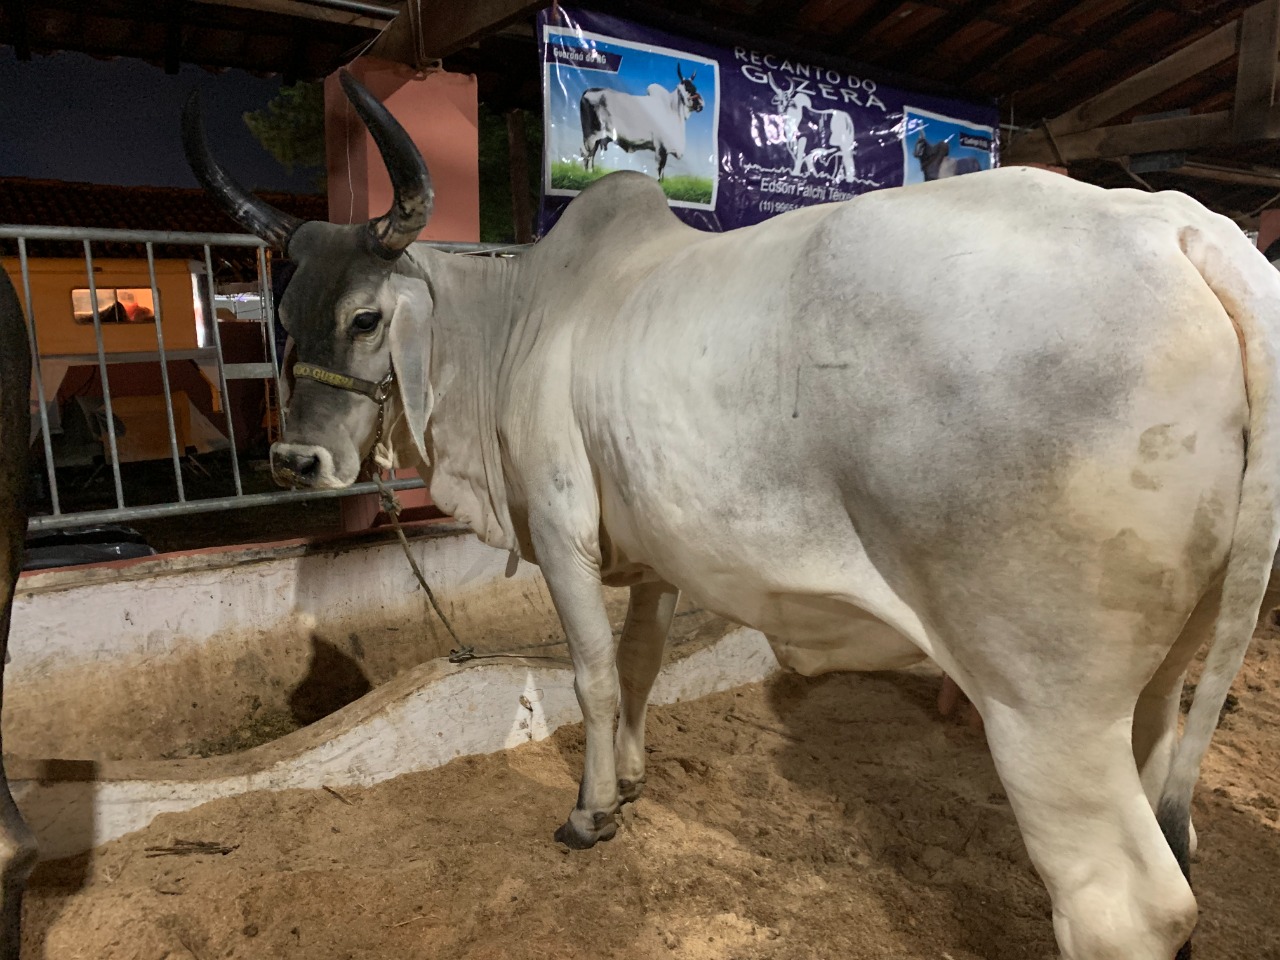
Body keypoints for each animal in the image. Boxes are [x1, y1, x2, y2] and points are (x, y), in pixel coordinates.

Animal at [185, 69, 1280, 960]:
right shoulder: (653, 558)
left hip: (1043, 702)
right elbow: (637, 667)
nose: (294, 459)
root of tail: (1181, 225)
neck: (512, 323)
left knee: (1125, 907)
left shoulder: (563, 534)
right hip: (1158, 676)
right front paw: (630, 781)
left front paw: (590, 812)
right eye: (281, 315)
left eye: (367, 315)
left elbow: (590, 675)